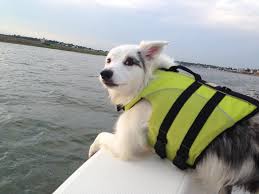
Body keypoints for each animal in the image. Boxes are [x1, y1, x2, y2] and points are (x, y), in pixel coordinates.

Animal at [89, 41, 259, 194]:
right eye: (108, 60)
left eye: (129, 62)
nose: (105, 73)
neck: (147, 82)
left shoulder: (125, 143)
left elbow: (101, 136)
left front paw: (91, 150)